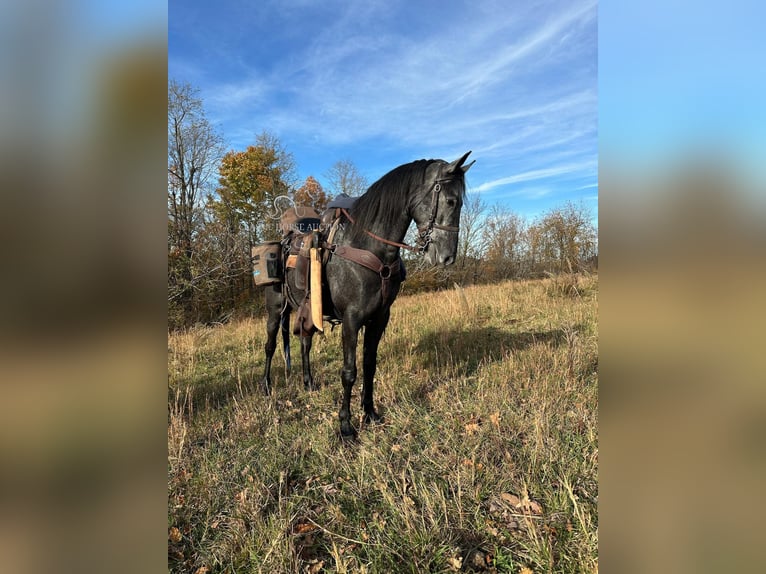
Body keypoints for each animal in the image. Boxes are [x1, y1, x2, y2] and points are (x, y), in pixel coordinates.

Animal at [260, 151, 474, 438]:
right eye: (451, 201)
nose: (448, 257)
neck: (369, 247)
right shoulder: (352, 320)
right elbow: (349, 371)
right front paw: (346, 426)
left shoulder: (379, 319)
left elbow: (369, 365)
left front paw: (370, 412)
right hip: (275, 310)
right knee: (270, 345)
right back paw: (266, 386)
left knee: (305, 343)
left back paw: (308, 383)